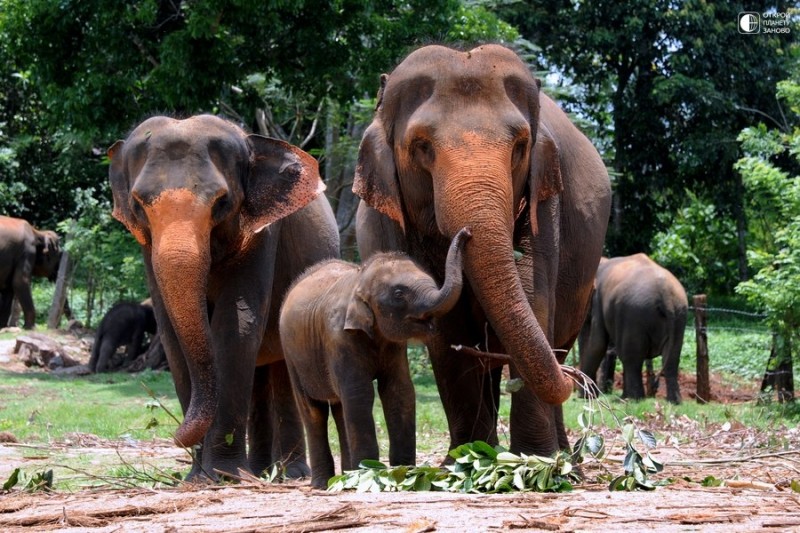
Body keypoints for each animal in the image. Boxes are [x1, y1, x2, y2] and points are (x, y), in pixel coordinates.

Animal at [108, 114, 340, 480]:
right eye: (137, 205)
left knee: (280, 369)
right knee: (259, 372)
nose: (174, 436)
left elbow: (237, 325)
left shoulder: (262, 233)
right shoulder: (147, 247)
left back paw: (290, 474)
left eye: (222, 202)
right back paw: (258, 471)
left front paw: (222, 475)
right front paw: (197, 478)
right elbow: (172, 337)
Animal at [280, 227, 468, 488]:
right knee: (314, 410)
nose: (467, 232)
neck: (358, 281)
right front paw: (371, 475)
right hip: (292, 356)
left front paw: (403, 474)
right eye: (399, 294)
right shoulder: (339, 338)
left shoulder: (394, 346)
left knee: (340, 407)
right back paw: (323, 483)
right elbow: (360, 394)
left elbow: (399, 392)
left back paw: (345, 477)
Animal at [354, 45, 608, 460]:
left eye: (520, 146)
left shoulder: (545, 200)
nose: (465, 234)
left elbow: (534, 295)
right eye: (422, 146)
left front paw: (533, 459)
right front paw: (468, 458)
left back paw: (561, 455)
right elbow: (447, 319)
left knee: (555, 342)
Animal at [580, 255, 692, 404]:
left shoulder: (599, 301)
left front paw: (584, 397)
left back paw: (633, 399)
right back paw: (673, 402)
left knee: (632, 359)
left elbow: (597, 344)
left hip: (634, 314)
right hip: (679, 314)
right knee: (671, 359)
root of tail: (665, 294)